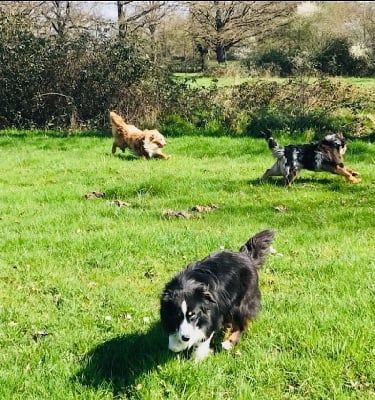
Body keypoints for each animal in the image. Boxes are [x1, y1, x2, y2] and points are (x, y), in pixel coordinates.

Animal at [160, 230, 274, 360]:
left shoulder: (212, 312)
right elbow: (172, 342)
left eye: (193, 315)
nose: (185, 338)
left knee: (241, 323)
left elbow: (205, 334)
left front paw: (198, 357)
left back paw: (229, 343)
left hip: (241, 301)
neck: (185, 285)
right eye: (176, 315)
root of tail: (245, 255)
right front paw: (177, 344)